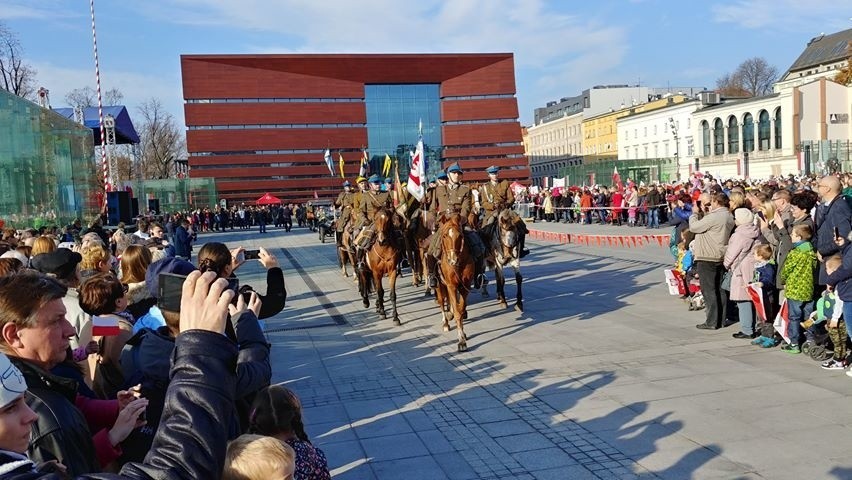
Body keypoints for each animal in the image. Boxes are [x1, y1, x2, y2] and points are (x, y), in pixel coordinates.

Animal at [436, 214, 476, 352]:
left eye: (460, 236)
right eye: (444, 236)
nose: (453, 260)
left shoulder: (465, 286)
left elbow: (461, 309)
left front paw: (463, 334)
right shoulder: (451, 286)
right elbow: (458, 312)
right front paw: (461, 341)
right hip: (439, 285)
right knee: (442, 302)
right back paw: (445, 323)